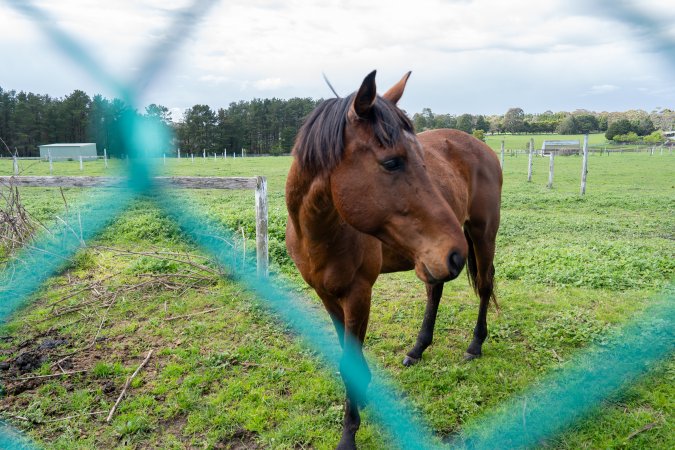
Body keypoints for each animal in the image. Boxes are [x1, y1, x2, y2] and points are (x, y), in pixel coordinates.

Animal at [285, 71, 502, 449]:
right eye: (391, 162)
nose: (455, 251)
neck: (318, 232)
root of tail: (484, 147)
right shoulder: (326, 295)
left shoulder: (359, 294)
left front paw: (349, 433)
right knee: (436, 291)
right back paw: (417, 349)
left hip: (481, 234)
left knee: (485, 285)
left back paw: (475, 345)